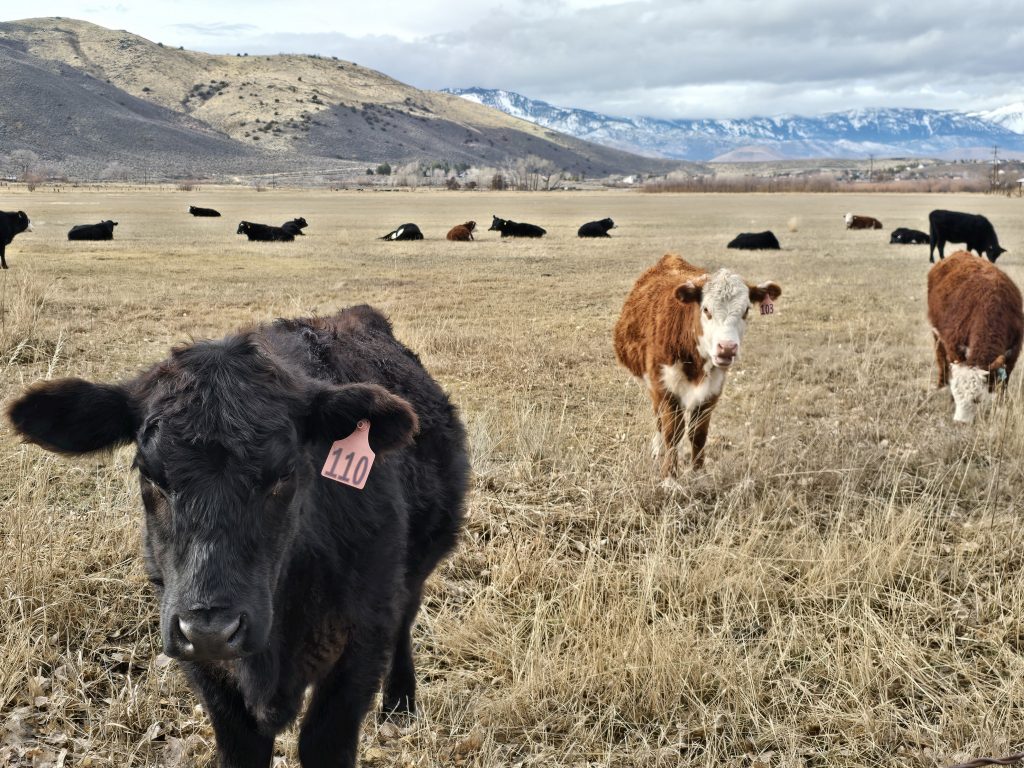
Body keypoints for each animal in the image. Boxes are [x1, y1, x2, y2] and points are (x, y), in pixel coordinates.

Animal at [6, 305, 470, 768]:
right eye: (150, 474)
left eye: (285, 473)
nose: (210, 630)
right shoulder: (206, 666)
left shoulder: (362, 641)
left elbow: (325, 741)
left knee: (406, 619)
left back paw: (400, 703)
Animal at [613, 254, 781, 475]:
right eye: (706, 309)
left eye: (746, 311)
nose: (727, 348)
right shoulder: (665, 389)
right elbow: (672, 434)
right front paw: (670, 477)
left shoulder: (711, 393)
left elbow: (698, 434)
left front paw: (698, 474)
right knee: (658, 419)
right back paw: (657, 449)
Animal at [927, 251, 1022, 423]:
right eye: (956, 396)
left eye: (977, 399)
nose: (960, 422)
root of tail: (957, 253)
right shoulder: (953, 347)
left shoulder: (1014, 352)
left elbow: (1004, 382)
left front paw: (1001, 404)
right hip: (936, 334)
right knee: (940, 358)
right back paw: (941, 384)